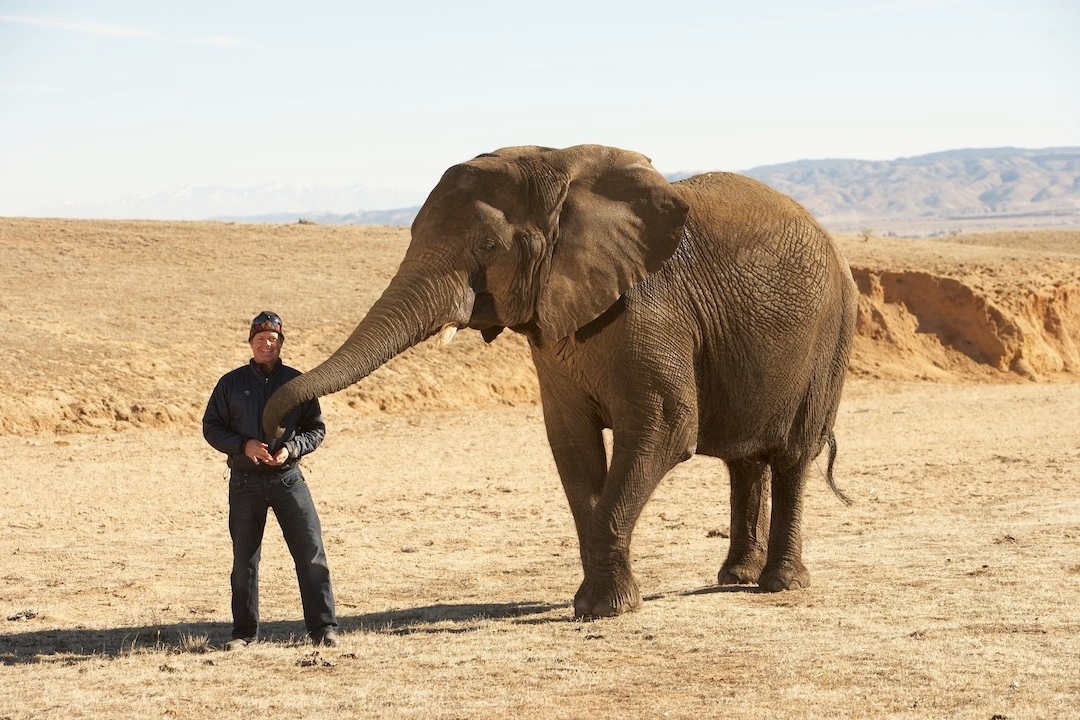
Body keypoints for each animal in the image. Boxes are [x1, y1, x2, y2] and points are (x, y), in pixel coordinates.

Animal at [263, 144, 859, 619]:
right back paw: (735, 577)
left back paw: (779, 585)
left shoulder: (651, 312)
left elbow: (665, 430)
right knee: (745, 461)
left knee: (792, 457)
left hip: (831, 335)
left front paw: (605, 610)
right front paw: (595, 602)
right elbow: (572, 446)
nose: (275, 440)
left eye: (487, 248)